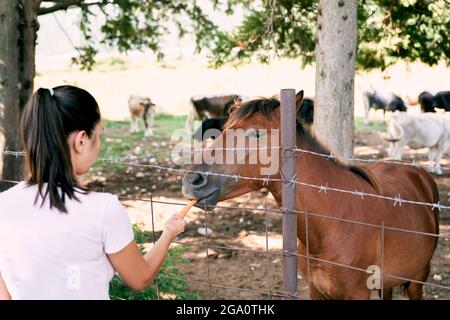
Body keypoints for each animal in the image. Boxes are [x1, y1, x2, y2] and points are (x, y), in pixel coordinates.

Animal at [181, 92, 438, 300]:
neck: (334, 223)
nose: (192, 181)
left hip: (418, 279)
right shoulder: (316, 290)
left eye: (257, 134)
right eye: (223, 129)